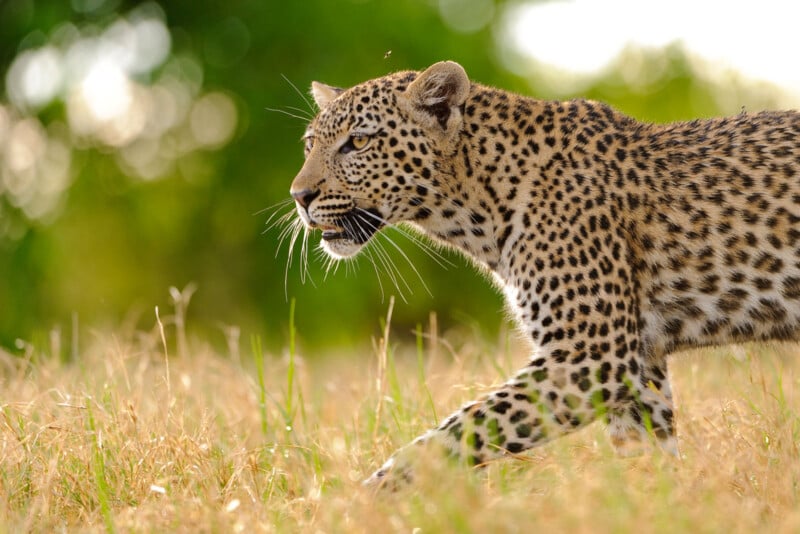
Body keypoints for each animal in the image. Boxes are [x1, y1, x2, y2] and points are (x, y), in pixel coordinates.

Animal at [288, 60, 800, 489]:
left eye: (358, 142)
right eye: (310, 144)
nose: (300, 196)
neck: (476, 207)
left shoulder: (589, 356)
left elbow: (458, 431)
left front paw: (362, 500)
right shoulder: (638, 363)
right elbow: (646, 457)